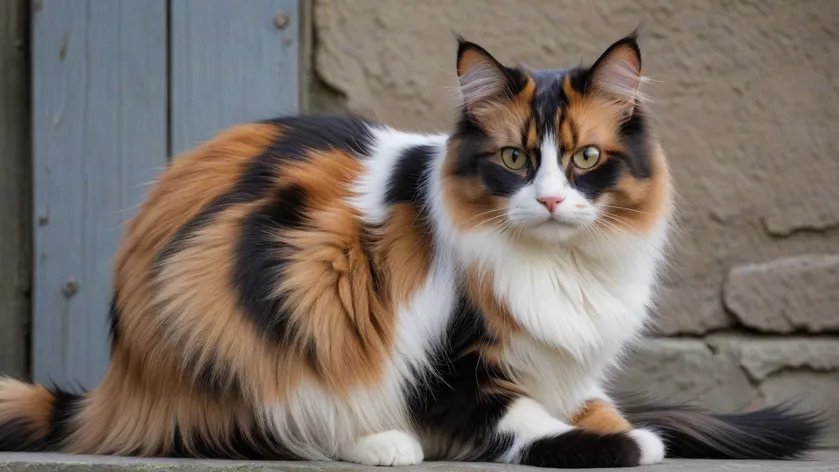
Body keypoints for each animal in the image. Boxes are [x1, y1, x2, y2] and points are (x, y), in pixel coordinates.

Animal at [0, 32, 820, 468]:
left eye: (585, 158)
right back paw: (384, 441)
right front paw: (626, 445)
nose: (552, 200)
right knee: (261, 426)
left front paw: (625, 429)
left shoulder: (566, 364)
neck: (559, 266)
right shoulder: (452, 365)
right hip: (247, 297)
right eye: (516, 160)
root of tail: (116, 382)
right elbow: (531, 423)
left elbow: (601, 407)